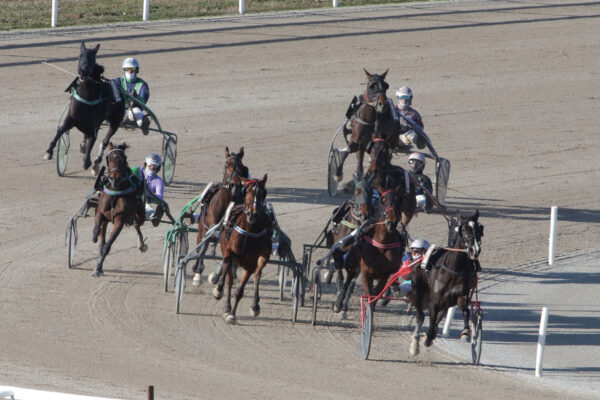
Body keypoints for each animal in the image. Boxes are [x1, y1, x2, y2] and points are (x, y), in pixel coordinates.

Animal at [43, 41, 124, 172]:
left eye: (92, 58)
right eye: (79, 56)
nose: (82, 72)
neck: (87, 99)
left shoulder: (94, 126)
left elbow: (92, 140)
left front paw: (88, 161)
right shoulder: (71, 118)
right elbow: (61, 130)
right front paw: (49, 152)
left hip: (116, 121)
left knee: (105, 140)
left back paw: (96, 160)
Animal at [92, 142, 147, 276]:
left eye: (123, 159)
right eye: (109, 159)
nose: (115, 178)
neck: (115, 191)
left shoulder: (120, 220)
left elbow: (107, 246)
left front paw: (98, 267)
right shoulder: (101, 212)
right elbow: (97, 230)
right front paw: (95, 236)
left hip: (139, 214)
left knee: (137, 225)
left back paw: (141, 244)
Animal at [192, 147, 248, 284]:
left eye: (240, 166)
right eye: (226, 165)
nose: (234, 184)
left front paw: (218, 275)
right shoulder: (208, 228)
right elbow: (203, 246)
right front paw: (198, 272)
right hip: (201, 229)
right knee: (200, 245)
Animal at [212, 176, 274, 324]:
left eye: (263, 193)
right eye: (247, 192)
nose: (252, 214)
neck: (249, 230)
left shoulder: (251, 263)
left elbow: (240, 290)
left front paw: (232, 315)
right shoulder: (228, 251)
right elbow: (227, 265)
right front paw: (218, 291)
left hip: (264, 255)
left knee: (257, 274)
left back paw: (254, 306)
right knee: (229, 279)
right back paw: (226, 306)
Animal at [410, 211, 486, 354]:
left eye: (479, 228)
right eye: (464, 228)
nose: (474, 250)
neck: (454, 269)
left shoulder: (460, 295)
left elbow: (466, 311)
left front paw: (466, 333)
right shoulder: (435, 300)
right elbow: (431, 319)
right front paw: (428, 337)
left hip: (447, 301)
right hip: (417, 291)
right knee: (420, 315)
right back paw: (416, 342)